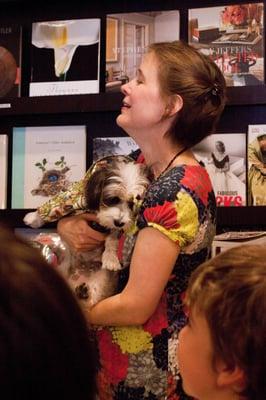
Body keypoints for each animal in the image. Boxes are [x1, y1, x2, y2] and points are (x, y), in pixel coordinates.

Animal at [23, 155, 150, 304]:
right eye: (112, 199)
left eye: (132, 205)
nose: (119, 222)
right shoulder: (74, 196)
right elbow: (56, 204)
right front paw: (33, 217)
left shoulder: (117, 227)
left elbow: (112, 238)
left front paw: (110, 258)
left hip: (102, 279)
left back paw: (83, 293)